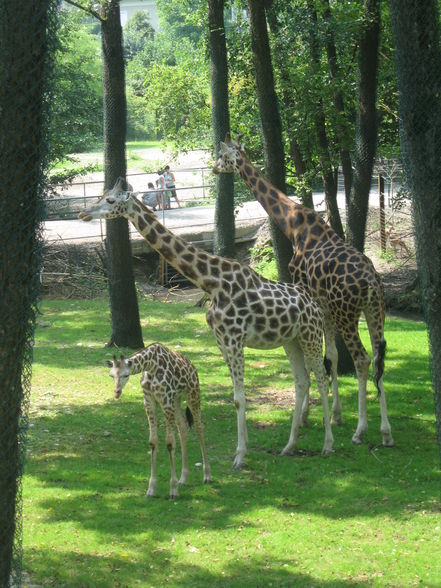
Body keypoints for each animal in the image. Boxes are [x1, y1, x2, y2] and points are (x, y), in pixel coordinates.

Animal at [105, 342, 211, 498]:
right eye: (111, 375)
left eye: (126, 374)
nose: (116, 393)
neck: (151, 366)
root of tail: (192, 365)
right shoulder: (149, 401)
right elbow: (153, 442)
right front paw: (151, 489)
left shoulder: (165, 400)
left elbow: (169, 443)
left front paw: (173, 490)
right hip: (176, 399)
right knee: (183, 427)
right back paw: (183, 478)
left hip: (192, 393)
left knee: (199, 427)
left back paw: (207, 476)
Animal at [211, 134, 394, 446]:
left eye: (223, 155)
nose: (214, 168)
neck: (290, 224)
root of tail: (371, 282)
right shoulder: (323, 304)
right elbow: (331, 356)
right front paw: (335, 414)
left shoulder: (305, 289)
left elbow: (313, 362)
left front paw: (308, 415)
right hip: (374, 311)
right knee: (379, 359)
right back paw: (385, 431)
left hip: (348, 313)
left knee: (362, 358)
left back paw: (361, 430)